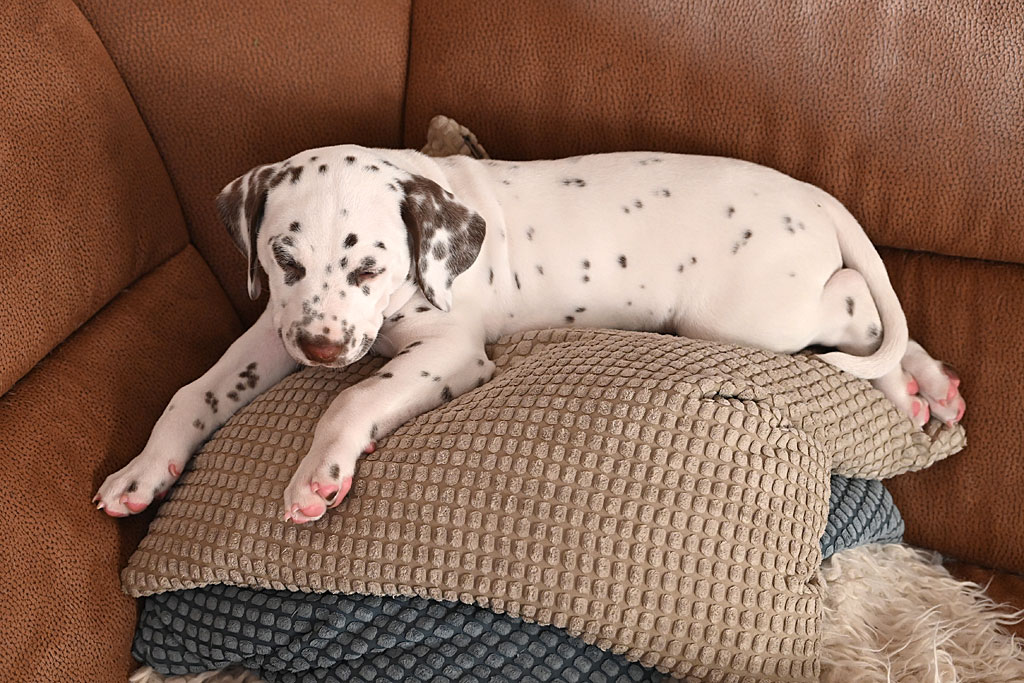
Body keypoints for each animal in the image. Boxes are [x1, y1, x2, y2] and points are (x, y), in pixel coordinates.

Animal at [95, 145, 965, 522]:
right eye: (282, 256)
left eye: (371, 266)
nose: (321, 352)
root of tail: (813, 194)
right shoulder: (272, 329)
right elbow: (192, 394)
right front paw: (143, 471)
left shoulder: (448, 350)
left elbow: (353, 401)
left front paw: (321, 471)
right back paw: (924, 391)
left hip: (748, 314)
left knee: (858, 301)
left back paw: (907, 381)